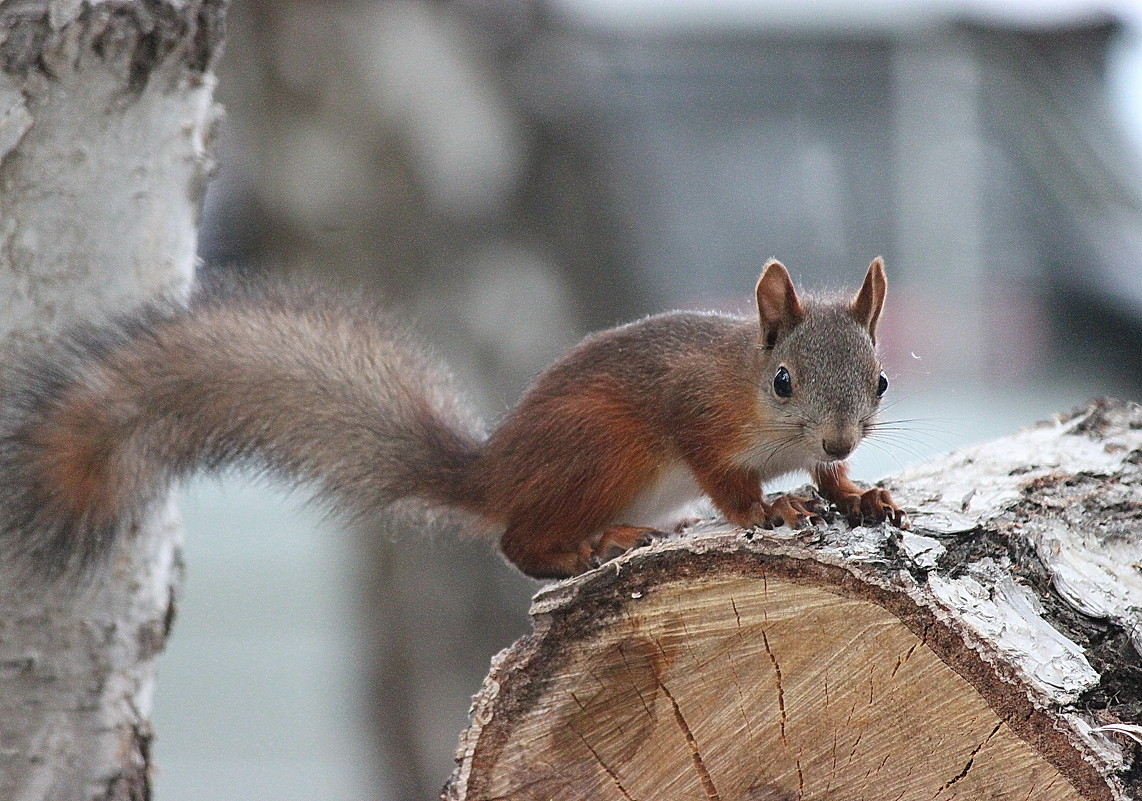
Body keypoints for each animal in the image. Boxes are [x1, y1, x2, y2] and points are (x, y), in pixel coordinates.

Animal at [0, 259, 909, 578]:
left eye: (882, 380)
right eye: (783, 381)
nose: (838, 432)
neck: (744, 386)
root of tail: (491, 471)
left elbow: (832, 475)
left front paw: (857, 492)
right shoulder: (692, 413)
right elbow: (726, 481)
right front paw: (771, 507)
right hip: (601, 446)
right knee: (515, 540)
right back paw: (592, 544)